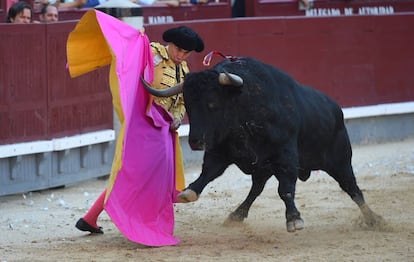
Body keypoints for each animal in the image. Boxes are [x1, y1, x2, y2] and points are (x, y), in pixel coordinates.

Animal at [142, 56, 384, 231]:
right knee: (256, 189)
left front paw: (294, 220)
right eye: (189, 106)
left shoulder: (285, 156)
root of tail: (336, 109)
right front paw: (189, 192)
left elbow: (285, 189)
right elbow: (208, 173)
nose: (195, 142)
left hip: (340, 161)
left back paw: (375, 220)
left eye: (213, 104)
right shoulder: (220, 151)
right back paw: (236, 215)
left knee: (352, 189)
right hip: (263, 167)